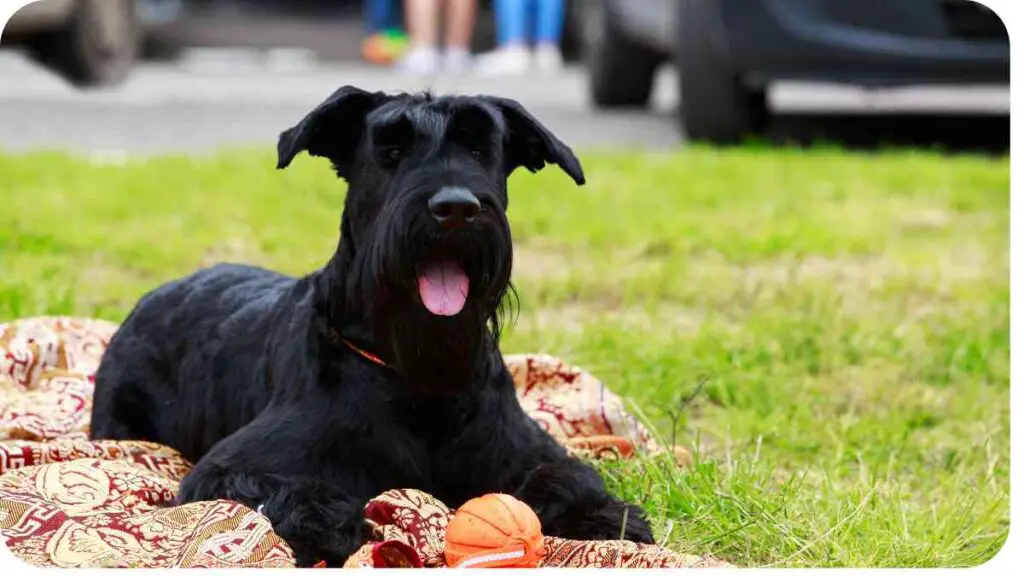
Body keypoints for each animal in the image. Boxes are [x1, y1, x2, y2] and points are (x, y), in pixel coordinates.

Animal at [86, 87, 647, 561]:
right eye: (391, 152)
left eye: (480, 148)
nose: (455, 208)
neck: (420, 377)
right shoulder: (227, 467)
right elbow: (286, 489)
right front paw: (334, 526)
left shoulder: (526, 449)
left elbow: (565, 475)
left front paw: (604, 516)